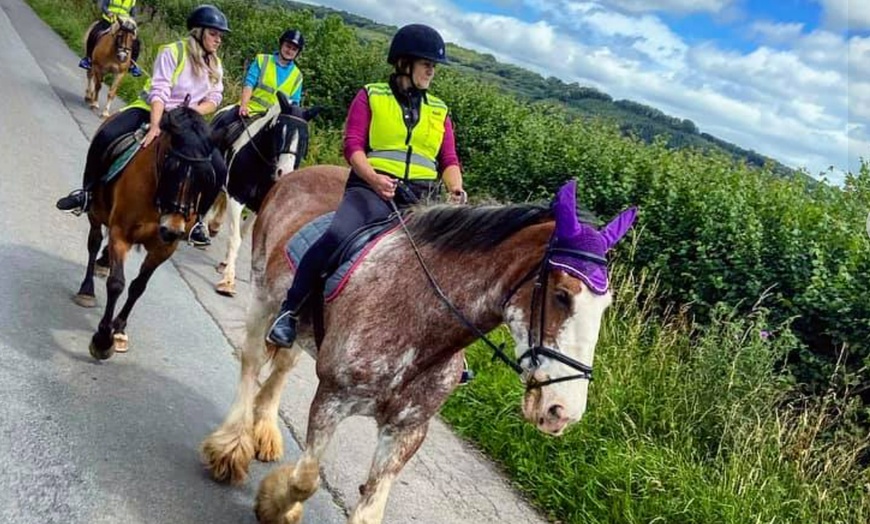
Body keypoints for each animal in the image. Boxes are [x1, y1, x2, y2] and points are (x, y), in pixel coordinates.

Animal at [74, 104, 218, 358]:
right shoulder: (121, 233)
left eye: (203, 177)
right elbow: (116, 283)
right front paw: (102, 340)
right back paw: (87, 290)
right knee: (94, 242)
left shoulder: (164, 248)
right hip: (95, 212)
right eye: (170, 167)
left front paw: (119, 330)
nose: (172, 229)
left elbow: (138, 286)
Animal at [203, 165, 640, 524]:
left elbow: (368, 512)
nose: (562, 411)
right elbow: (307, 479)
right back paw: (230, 448)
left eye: (606, 305)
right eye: (563, 295)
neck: (418, 324)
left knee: (281, 366)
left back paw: (264, 431)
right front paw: (274, 505)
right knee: (251, 361)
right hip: (263, 295)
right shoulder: (332, 399)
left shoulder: (408, 429)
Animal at [208, 92, 320, 296]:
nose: (284, 172)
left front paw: (225, 264)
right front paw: (228, 281)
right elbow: (235, 237)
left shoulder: (259, 205)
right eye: (280, 130)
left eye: (304, 137)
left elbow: (243, 233)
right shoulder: (237, 197)